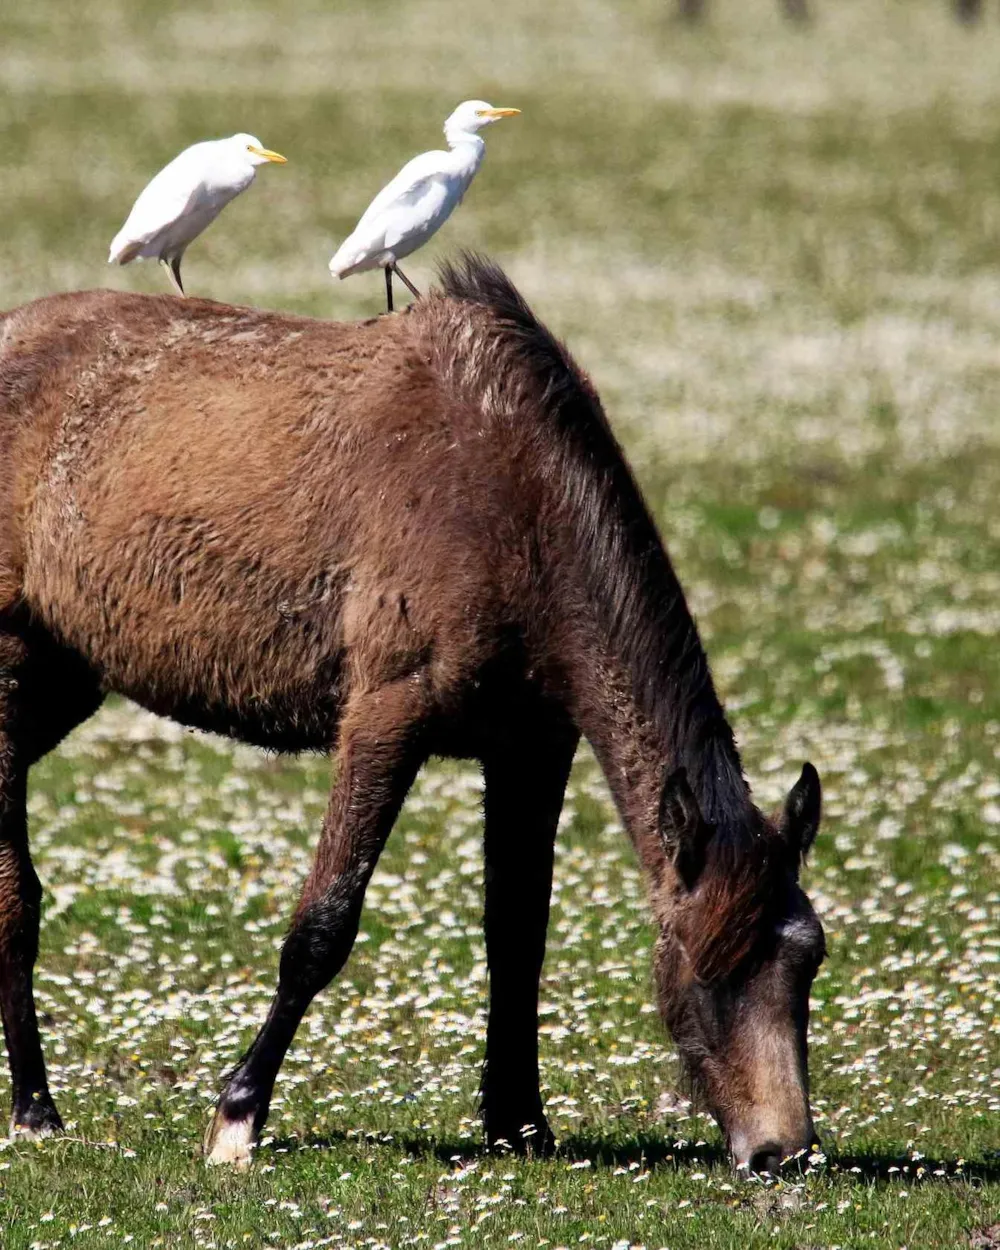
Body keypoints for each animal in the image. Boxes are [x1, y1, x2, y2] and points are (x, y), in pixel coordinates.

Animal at [0, 256, 825, 1170]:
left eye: (808, 962)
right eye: (710, 962)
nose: (784, 1150)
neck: (516, 496)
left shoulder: (533, 747)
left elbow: (518, 932)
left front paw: (519, 1121)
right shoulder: (385, 718)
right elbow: (322, 926)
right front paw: (237, 1116)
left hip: (62, 682)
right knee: (14, 896)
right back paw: (34, 1106)